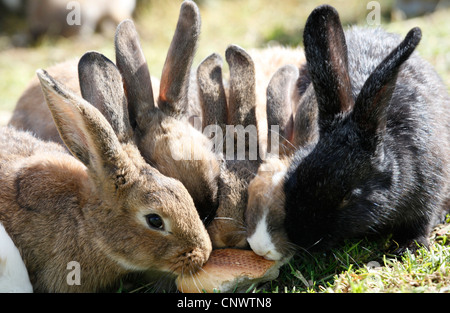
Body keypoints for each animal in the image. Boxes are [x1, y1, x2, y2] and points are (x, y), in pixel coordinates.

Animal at [246, 4, 450, 260]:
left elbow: (421, 222)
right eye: (293, 179)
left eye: (349, 195)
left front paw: (410, 246)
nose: (303, 238)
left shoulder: (429, 186)